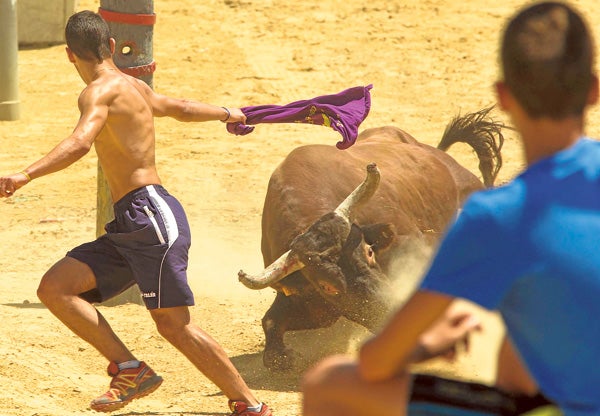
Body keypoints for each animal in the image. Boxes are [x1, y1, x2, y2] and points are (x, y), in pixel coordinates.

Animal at [237, 106, 504, 370]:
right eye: (327, 286)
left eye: (369, 251)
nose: (388, 309)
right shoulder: (315, 305)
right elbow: (271, 323)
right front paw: (282, 357)